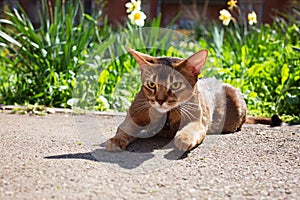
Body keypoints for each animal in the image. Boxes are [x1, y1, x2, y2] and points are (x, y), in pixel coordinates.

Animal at [105, 47, 251, 152]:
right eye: (151, 84)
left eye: (176, 85)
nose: (160, 100)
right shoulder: (134, 116)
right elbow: (124, 129)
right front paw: (115, 140)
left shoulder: (197, 120)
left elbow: (191, 129)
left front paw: (184, 138)